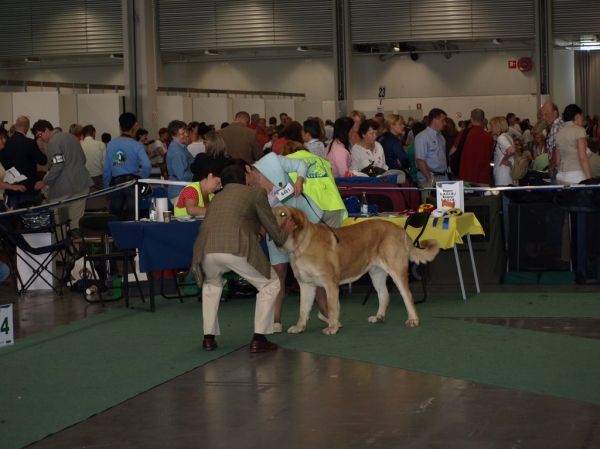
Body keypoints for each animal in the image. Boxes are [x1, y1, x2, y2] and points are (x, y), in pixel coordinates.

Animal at [274, 206, 440, 332]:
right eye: (273, 212)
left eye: (283, 214)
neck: (299, 246)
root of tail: (401, 230)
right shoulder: (306, 285)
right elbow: (303, 309)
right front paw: (299, 327)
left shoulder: (330, 283)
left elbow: (332, 307)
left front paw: (332, 327)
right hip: (376, 273)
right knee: (384, 295)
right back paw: (378, 317)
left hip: (396, 270)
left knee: (407, 296)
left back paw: (413, 320)